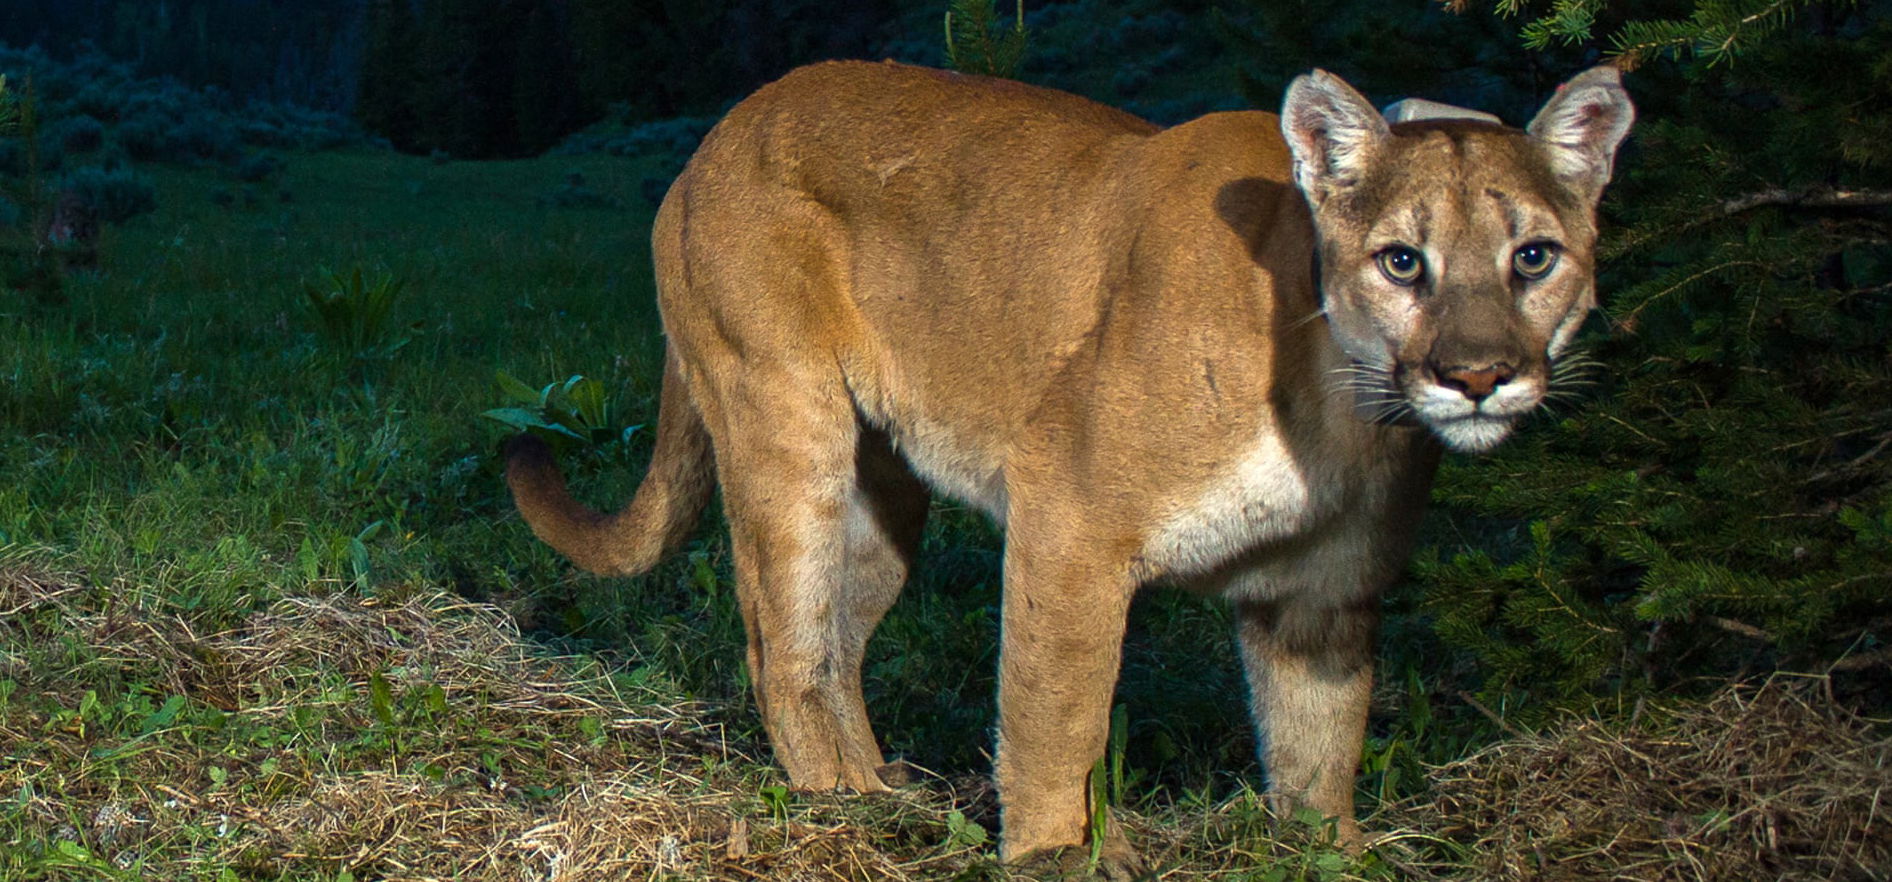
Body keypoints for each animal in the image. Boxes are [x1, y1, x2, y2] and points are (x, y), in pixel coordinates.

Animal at [510, 60, 1634, 866]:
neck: (1342, 403)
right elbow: (1057, 713)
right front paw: (1057, 853)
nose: (1477, 376)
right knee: (779, 649)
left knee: (835, 647)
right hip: (786, 424)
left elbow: (1320, 747)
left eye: (1532, 256)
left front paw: (1333, 851)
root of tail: (717, 134)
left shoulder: (1322, 596)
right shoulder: (1070, 517)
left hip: (881, 500)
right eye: (1402, 261)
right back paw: (841, 814)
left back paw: (885, 795)